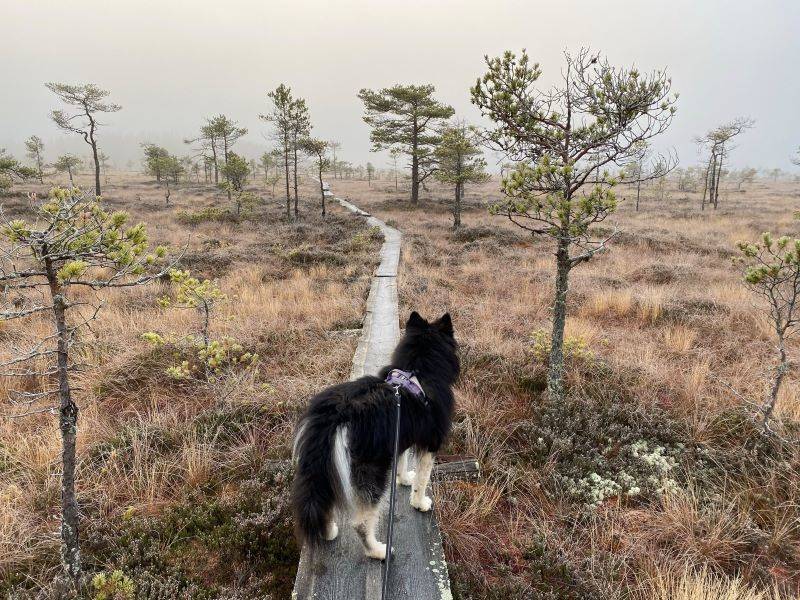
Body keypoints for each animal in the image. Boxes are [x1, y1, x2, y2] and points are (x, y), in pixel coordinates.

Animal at [292, 312, 456, 560]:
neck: (417, 368)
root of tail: (337, 413)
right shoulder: (431, 444)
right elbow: (422, 479)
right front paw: (419, 502)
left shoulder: (400, 434)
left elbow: (402, 462)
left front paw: (403, 479)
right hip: (372, 473)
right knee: (361, 523)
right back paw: (378, 551)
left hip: (322, 466)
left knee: (322, 502)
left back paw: (328, 532)